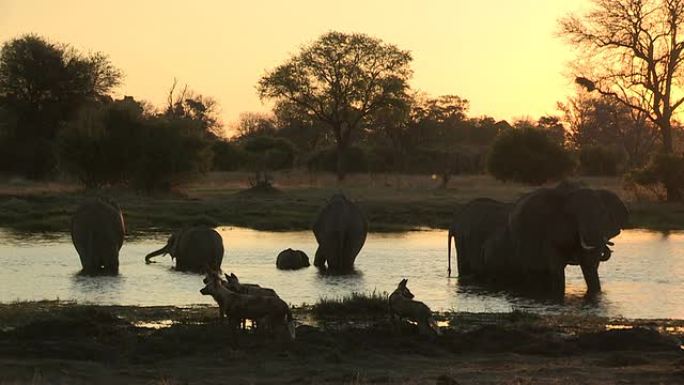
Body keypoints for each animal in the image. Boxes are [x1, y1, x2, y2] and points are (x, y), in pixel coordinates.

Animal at [448, 182, 632, 296]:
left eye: (604, 214)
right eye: (571, 215)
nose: (607, 247)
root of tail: (454, 222)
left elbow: (590, 268)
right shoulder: (541, 232)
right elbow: (556, 272)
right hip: (465, 241)